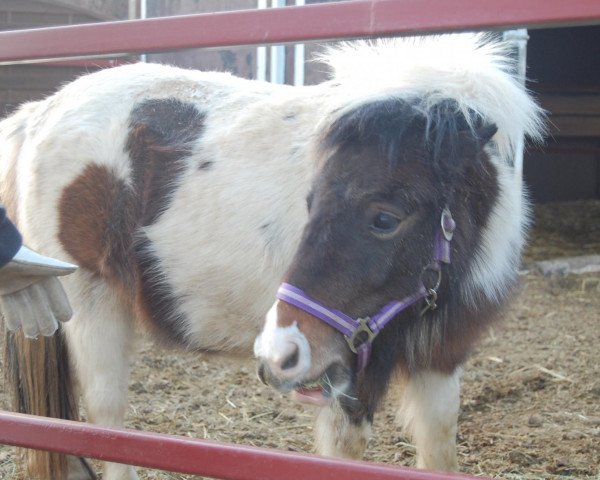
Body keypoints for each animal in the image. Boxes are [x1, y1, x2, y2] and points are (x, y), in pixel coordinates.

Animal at [0, 34, 544, 480]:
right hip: (91, 306)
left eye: (385, 218)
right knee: (107, 424)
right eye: (311, 202)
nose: (280, 352)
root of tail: (40, 113)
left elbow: (440, 449)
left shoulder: (441, 359)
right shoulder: (348, 380)